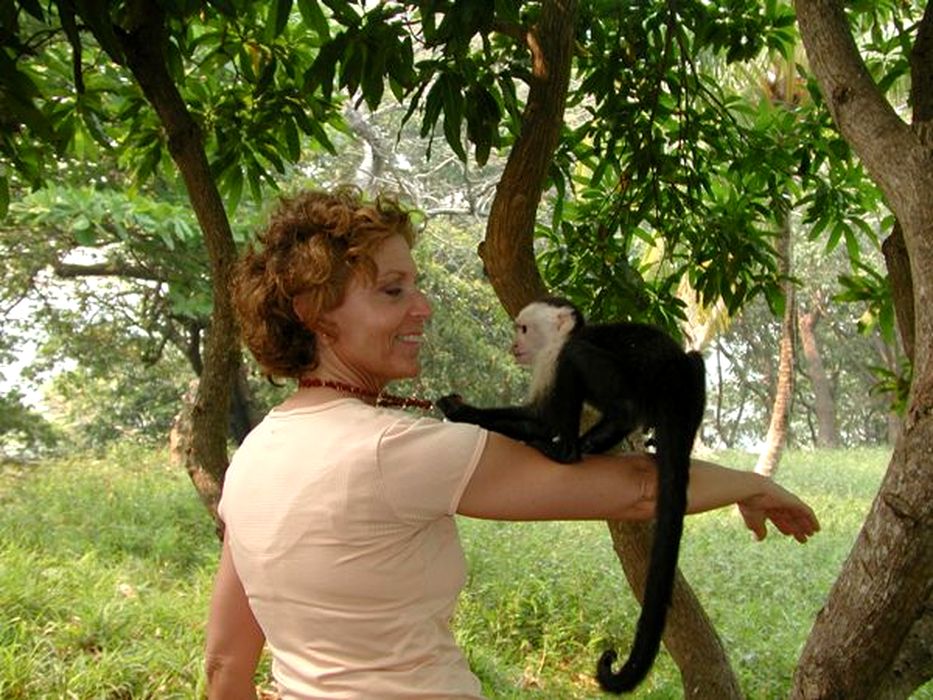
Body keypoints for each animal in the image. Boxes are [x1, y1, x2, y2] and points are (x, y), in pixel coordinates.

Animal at [436, 296, 706, 694]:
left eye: (523, 329)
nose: (512, 345)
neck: (562, 338)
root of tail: (671, 381)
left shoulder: (555, 358)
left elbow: (548, 417)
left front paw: (465, 412)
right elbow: (536, 417)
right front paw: (460, 409)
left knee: (611, 395)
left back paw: (569, 450)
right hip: (689, 386)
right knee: (696, 361)